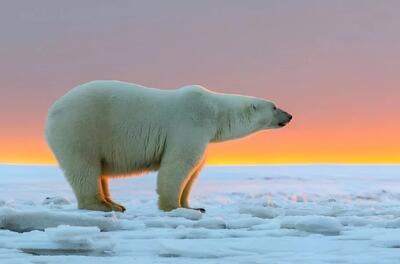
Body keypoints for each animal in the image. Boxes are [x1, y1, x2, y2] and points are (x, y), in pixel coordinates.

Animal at [45, 80, 292, 212]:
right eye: (274, 106)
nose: (289, 116)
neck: (214, 110)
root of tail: (53, 111)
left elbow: (194, 171)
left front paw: (193, 206)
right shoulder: (190, 123)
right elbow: (179, 163)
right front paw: (173, 206)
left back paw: (113, 202)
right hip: (81, 127)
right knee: (84, 167)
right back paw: (104, 205)